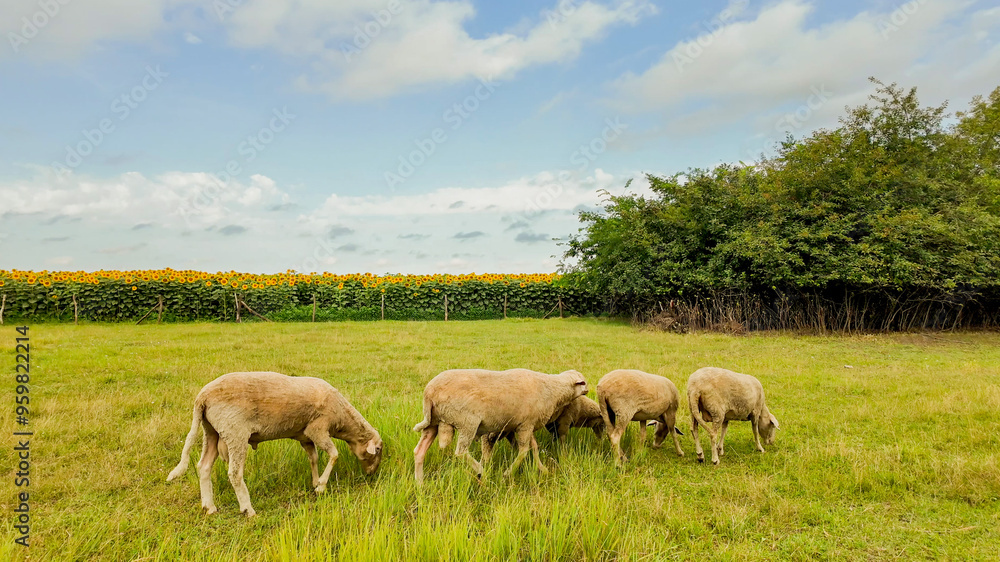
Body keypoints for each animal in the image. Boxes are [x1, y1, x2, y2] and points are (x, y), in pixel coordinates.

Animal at [166, 371, 383, 517]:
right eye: (378, 449)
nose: (372, 474)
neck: (343, 417)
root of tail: (202, 397)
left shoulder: (304, 436)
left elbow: (313, 458)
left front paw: (315, 481)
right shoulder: (317, 429)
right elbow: (335, 454)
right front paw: (321, 486)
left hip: (211, 430)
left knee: (203, 467)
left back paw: (209, 507)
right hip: (234, 431)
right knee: (234, 473)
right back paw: (248, 509)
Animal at [412, 368, 588, 483]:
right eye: (583, 383)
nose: (588, 390)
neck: (553, 389)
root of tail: (429, 392)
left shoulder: (526, 424)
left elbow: (534, 447)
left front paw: (542, 469)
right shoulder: (525, 425)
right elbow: (524, 450)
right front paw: (507, 474)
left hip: (433, 422)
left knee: (419, 451)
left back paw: (419, 483)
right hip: (467, 422)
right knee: (460, 452)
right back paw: (481, 471)